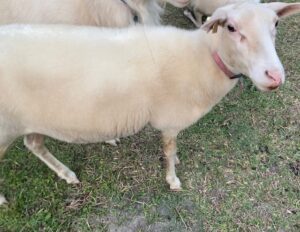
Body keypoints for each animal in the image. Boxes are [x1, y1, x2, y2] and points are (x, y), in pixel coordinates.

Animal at [0, 0, 300, 204]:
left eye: (275, 24)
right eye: (231, 27)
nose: (274, 76)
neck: (203, 58)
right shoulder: (169, 120)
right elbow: (168, 150)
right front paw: (173, 179)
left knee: (33, 143)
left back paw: (67, 174)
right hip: (6, 128)